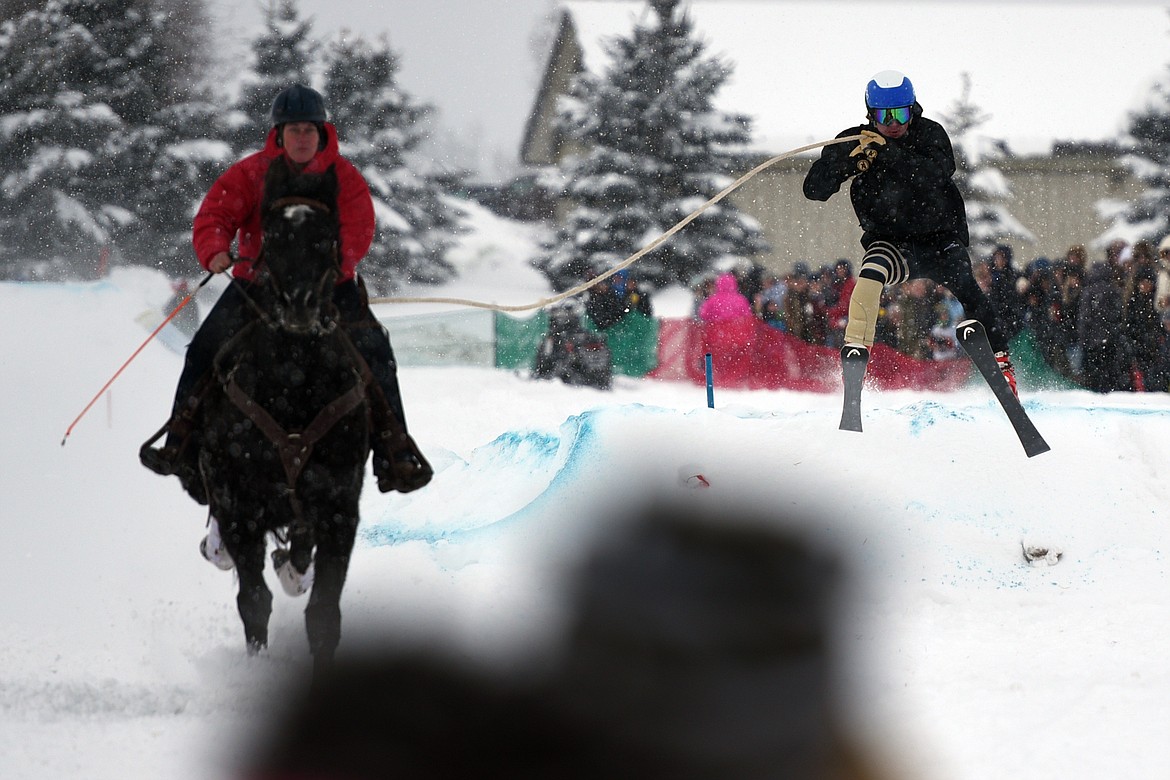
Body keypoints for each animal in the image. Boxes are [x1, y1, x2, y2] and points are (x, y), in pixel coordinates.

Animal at [193, 161, 369, 673]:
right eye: (271, 235)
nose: (299, 303)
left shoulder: (339, 506)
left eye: (326, 236)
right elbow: (253, 600)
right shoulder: (239, 504)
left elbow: (324, 610)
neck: (293, 385)